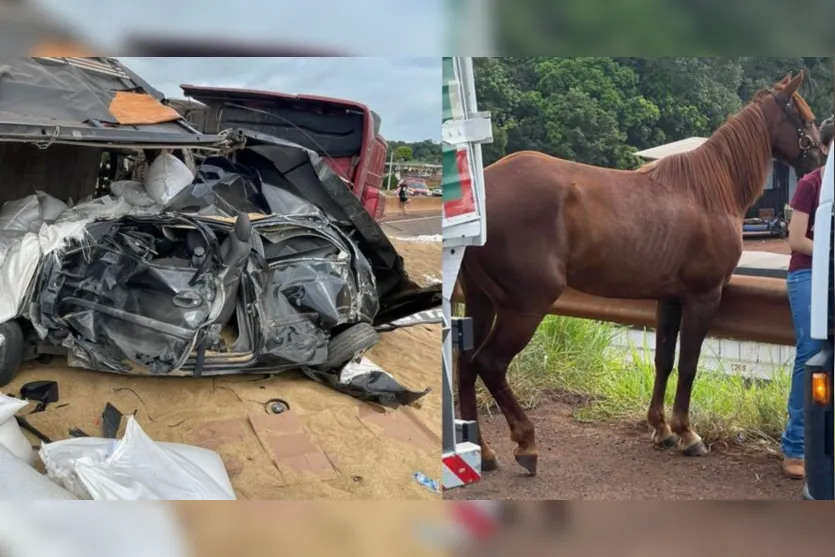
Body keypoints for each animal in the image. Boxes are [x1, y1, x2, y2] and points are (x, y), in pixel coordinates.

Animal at [460, 71, 828, 476]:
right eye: (807, 118)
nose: (821, 160)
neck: (709, 191)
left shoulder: (668, 299)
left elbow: (664, 360)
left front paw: (661, 429)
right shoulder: (703, 297)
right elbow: (688, 364)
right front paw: (687, 434)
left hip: (481, 301)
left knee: (465, 363)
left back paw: (482, 451)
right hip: (525, 307)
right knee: (489, 363)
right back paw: (526, 444)